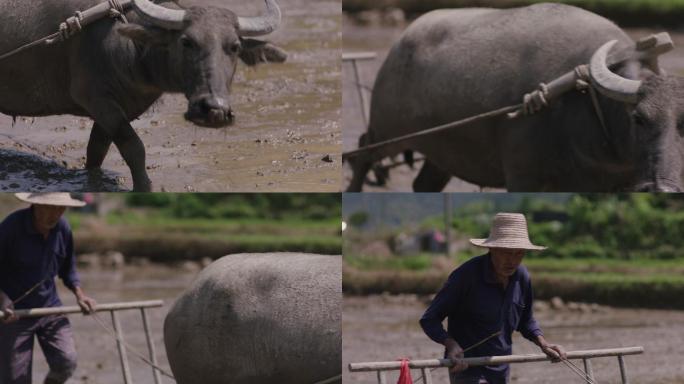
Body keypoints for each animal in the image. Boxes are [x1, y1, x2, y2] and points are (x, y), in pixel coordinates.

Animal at [0, 0, 286, 191]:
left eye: (234, 46)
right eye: (186, 42)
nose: (214, 109)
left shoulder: (111, 111)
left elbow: (96, 150)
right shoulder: (98, 101)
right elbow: (134, 148)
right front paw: (143, 187)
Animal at [348, 1, 684, 190]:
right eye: (638, 119)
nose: (664, 189)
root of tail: (399, 43)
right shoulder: (523, 175)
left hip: (441, 150)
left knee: (423, 184)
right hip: (386, 131)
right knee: (362, 153)